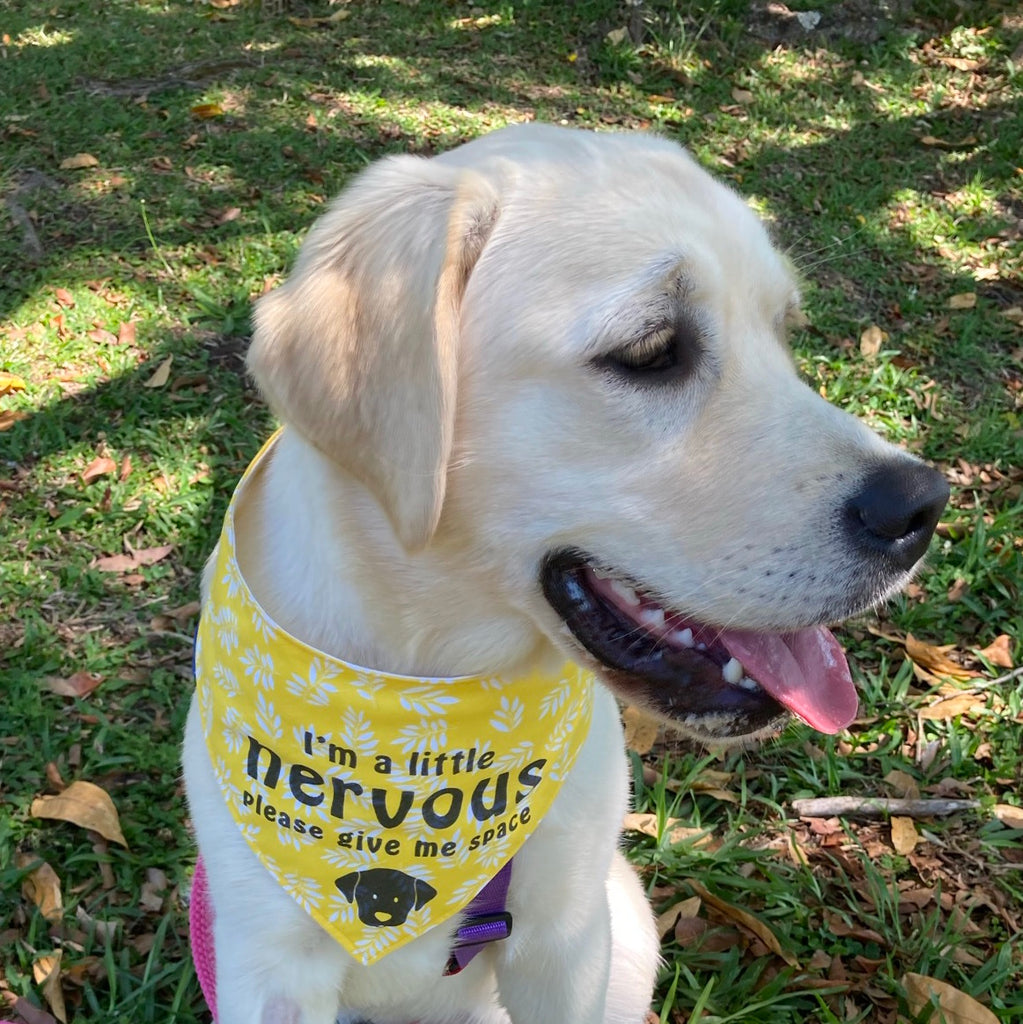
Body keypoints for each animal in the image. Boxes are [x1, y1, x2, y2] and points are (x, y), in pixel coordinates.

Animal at [182, 125, 942, 1024]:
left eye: (782, 331)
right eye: (649, 351)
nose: (923, 507)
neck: (427, 683)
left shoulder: (565, 933)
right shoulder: (265, 960)